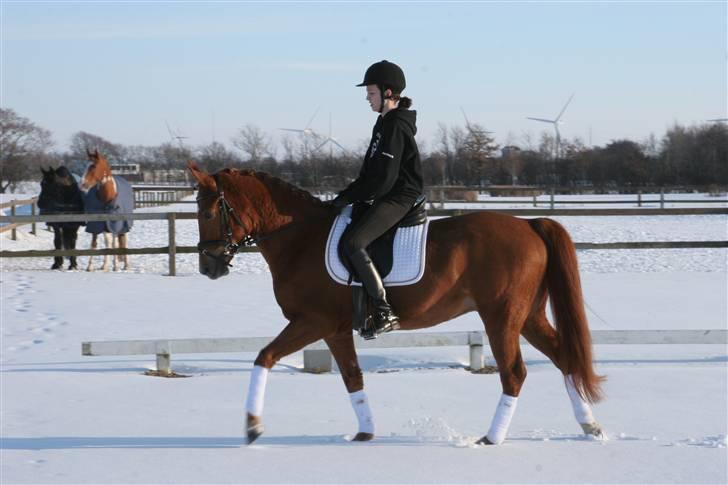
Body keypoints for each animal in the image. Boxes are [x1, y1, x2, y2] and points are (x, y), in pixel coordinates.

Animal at [186, 164, 604, 446]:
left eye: (207, 213)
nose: (209, 267)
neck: (299, 239)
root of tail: (529, 223)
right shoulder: (336, 330)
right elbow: (353, 377)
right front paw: (365, 433)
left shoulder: (313, 322)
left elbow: (265, 357)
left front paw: (252, 426)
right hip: (528, 317)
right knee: (565, 359)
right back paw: (590, 427)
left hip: (501, 317)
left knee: (514, 373)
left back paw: (491, 438)